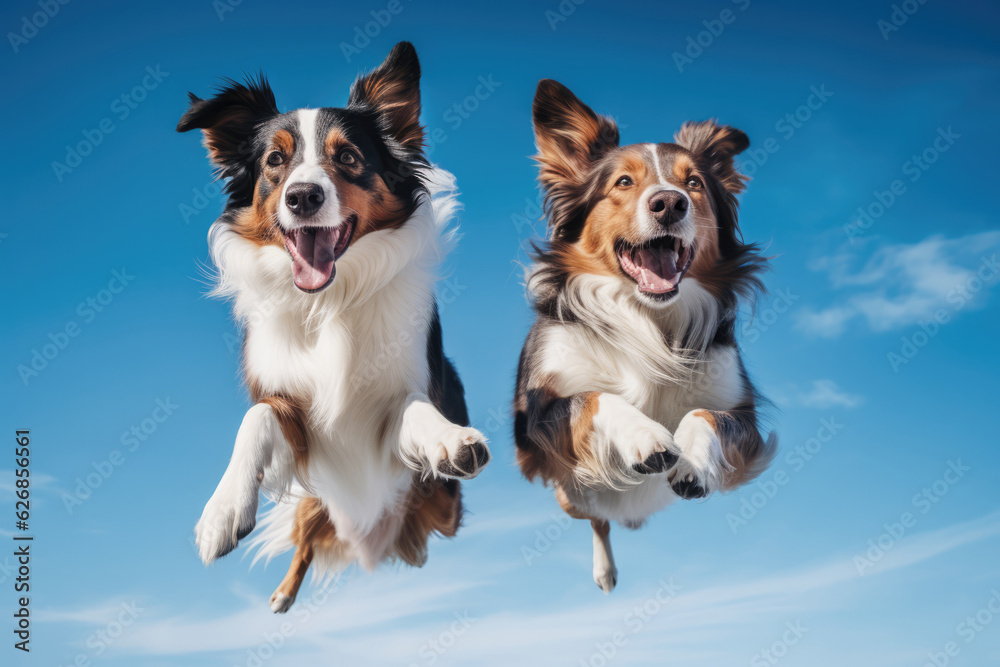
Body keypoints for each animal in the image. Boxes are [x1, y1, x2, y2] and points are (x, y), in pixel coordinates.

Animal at [182, 41, 494, 612]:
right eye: (275, 161)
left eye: (348, 156)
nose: (302, 196)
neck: (329, 301)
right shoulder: (298, 423)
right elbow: (257, 417)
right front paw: (222, 511)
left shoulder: (390, 426)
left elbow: (413, 407)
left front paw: (447, 438)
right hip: (316, 500)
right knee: (306, 536)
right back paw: (282, 595)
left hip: (442, 507)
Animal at [516, 79, 780, 596]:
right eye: (624, 182)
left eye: (693, 184)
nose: (670, 203)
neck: (649, 317)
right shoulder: (538, 421)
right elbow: (595, 397)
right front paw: (645, 436)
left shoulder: (744, 418)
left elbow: (704, 413)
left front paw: (690, 459)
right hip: (569, 494)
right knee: (597, 518)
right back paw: (605, 569)